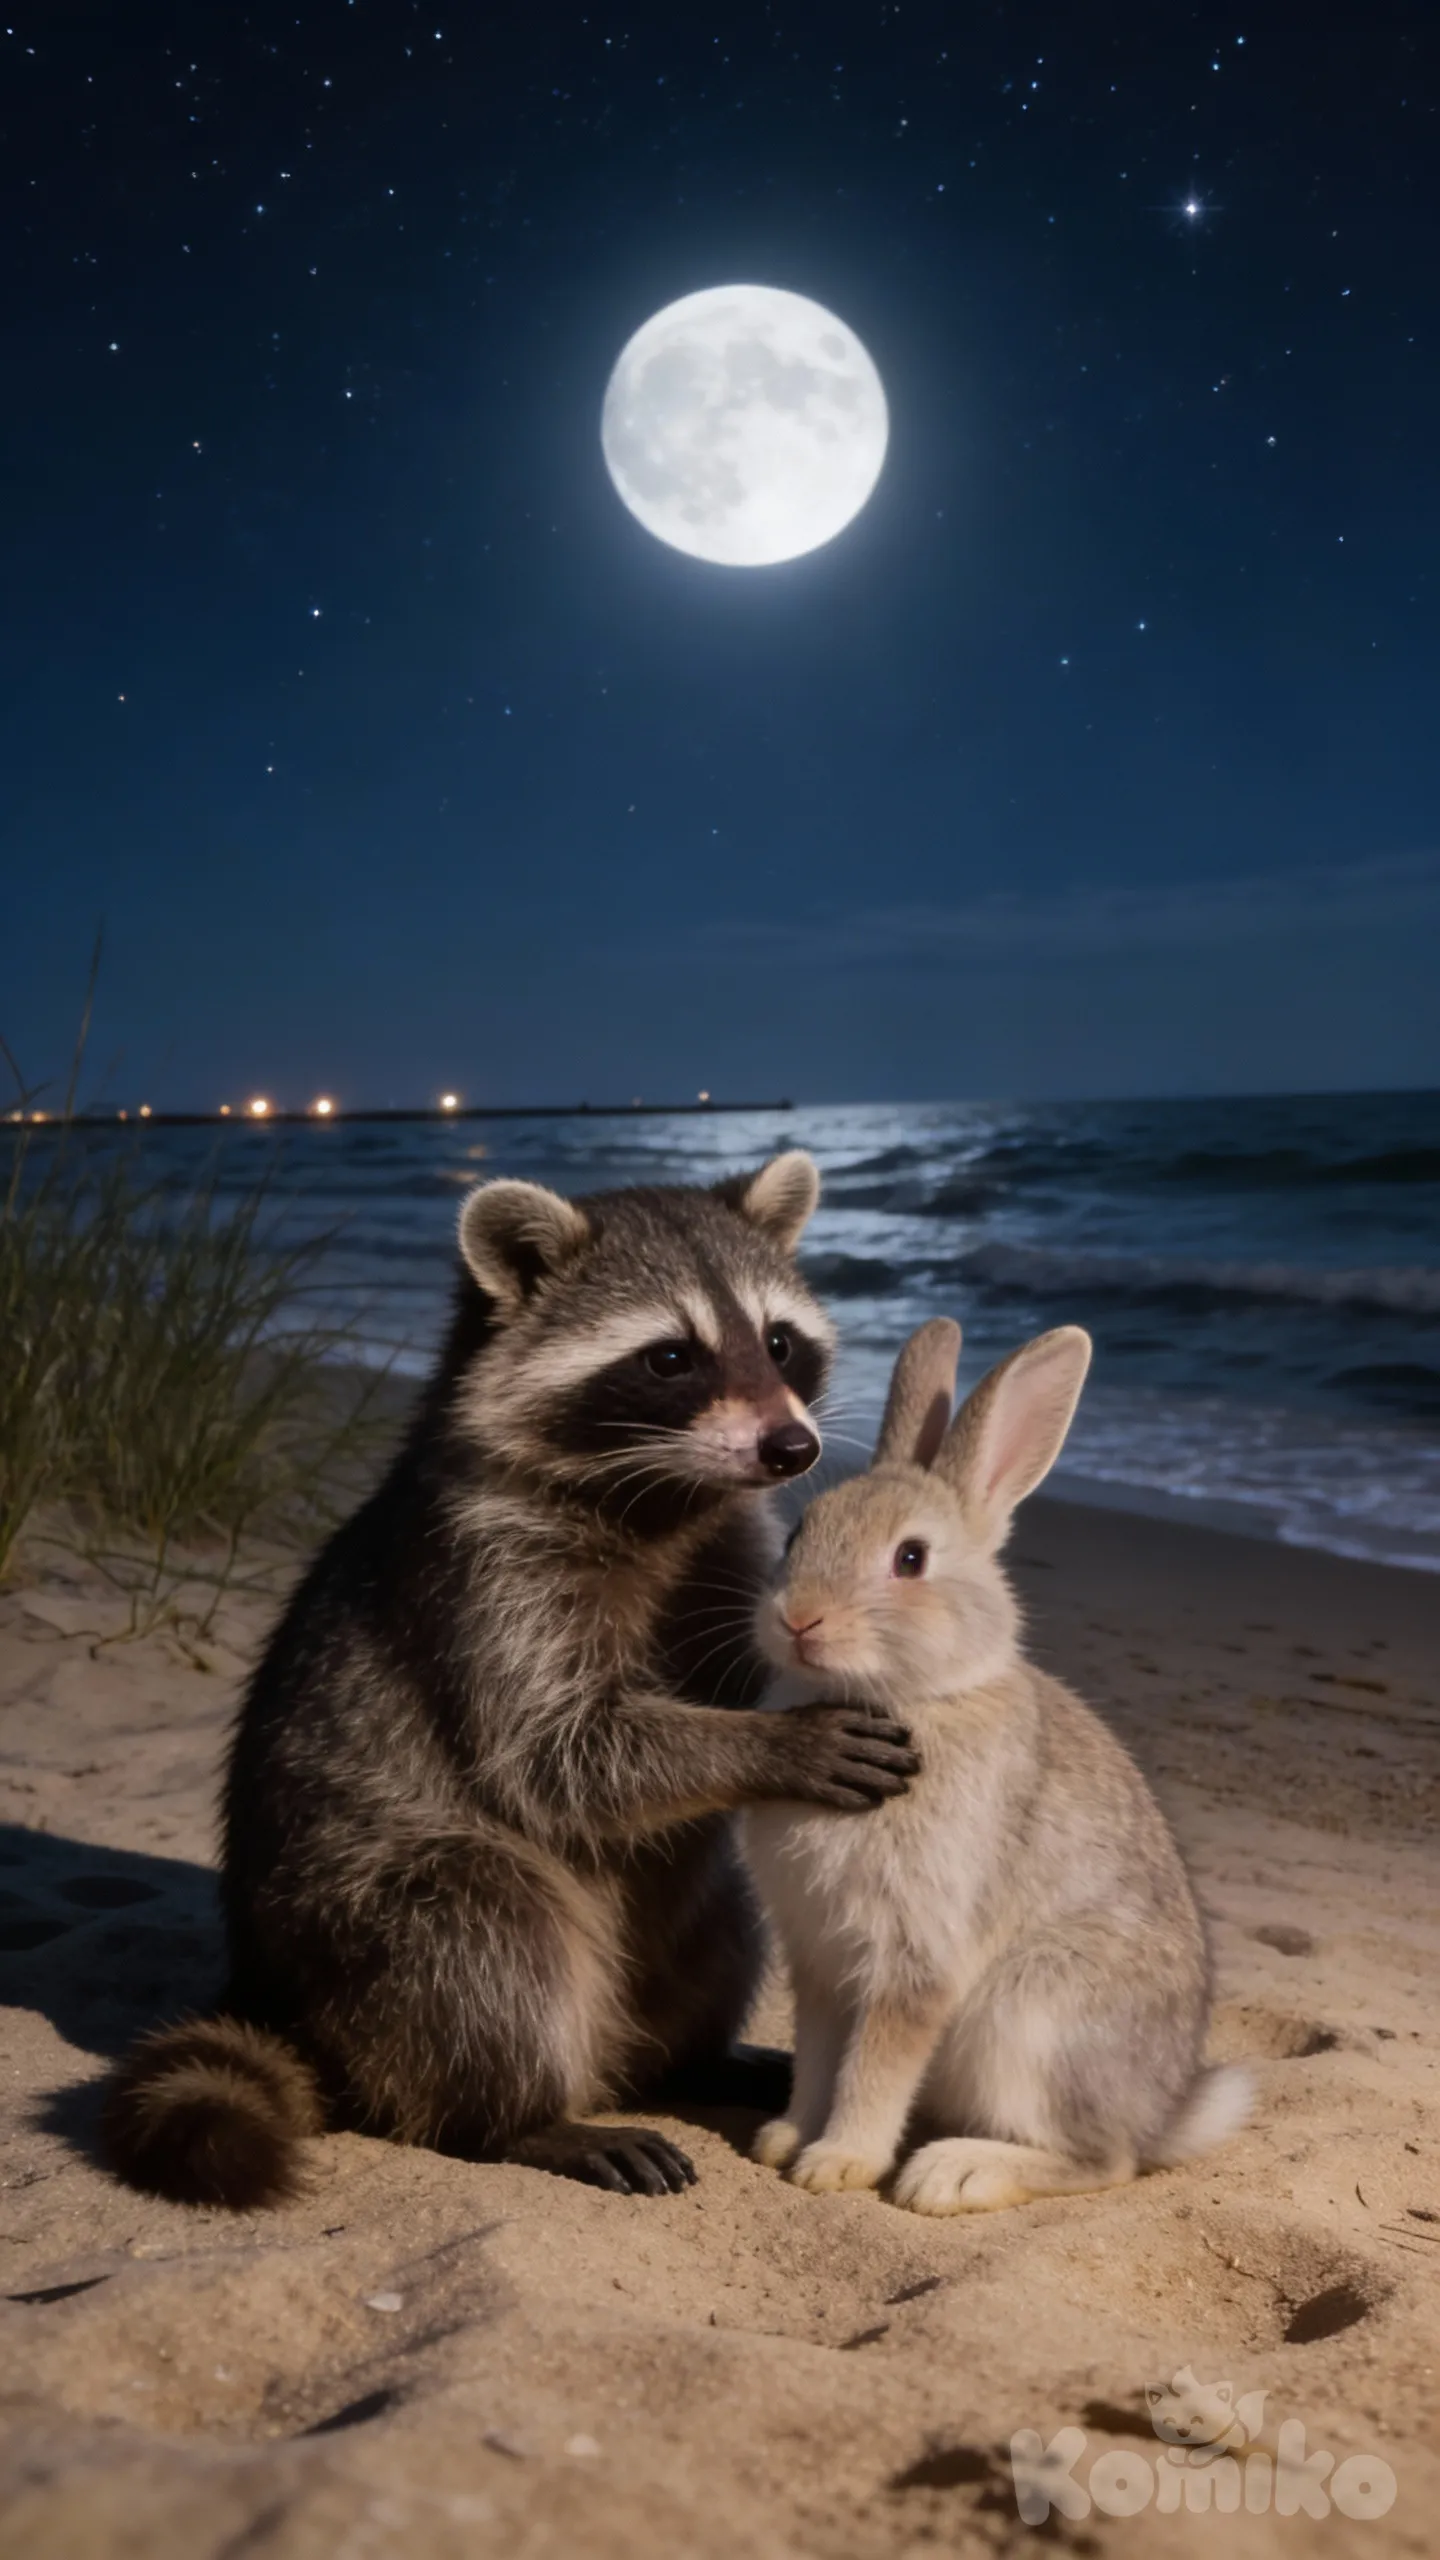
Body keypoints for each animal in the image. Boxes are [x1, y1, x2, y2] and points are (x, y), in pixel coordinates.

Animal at [742, 1317, 1251, 2214]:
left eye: (911, 1559)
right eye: (800, 1533)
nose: (798, 1619)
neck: (915, 1697)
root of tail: (1160, 2115)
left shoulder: (913, 1960)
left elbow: (875, 2068)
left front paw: (837, 2164)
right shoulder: (821, 1961)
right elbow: (819, 2055)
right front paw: (785, 2140)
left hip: (1032, 2020)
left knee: (1103, 2162)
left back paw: (954, 2174)